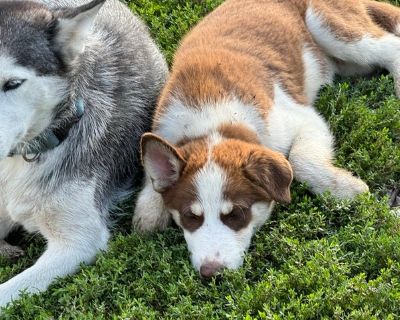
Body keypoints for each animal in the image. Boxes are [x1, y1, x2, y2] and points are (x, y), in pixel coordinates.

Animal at [135, 0, 400, 278]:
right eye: (191, 217)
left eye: (236, 214)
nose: (211, 273)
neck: (211, 118)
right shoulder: (165, 128)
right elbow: (150, 196)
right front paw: (151, 207)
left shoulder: (302, 119)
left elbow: (300, 161)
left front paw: (346, 189)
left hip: (332, 29)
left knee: (391, 45)